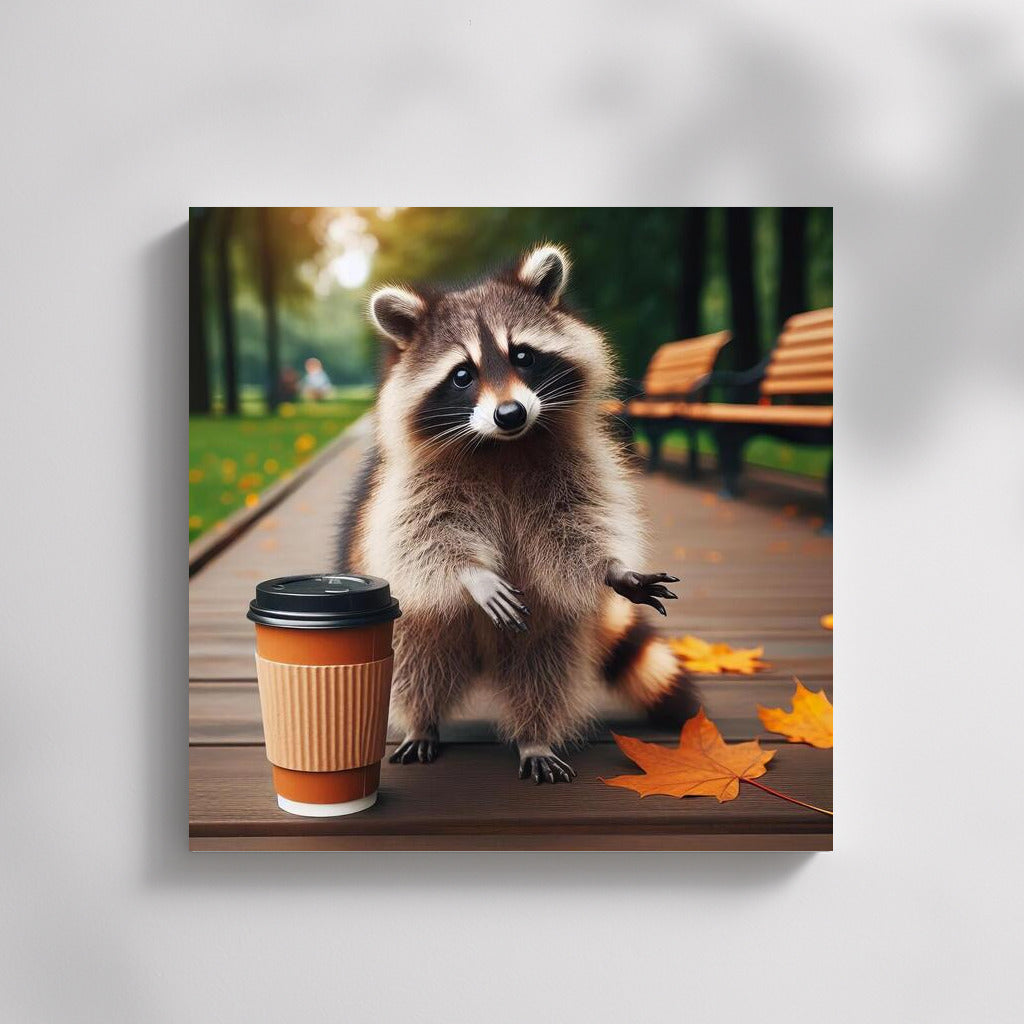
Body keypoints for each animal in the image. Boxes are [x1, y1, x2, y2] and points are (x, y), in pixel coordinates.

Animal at [336, 244, 699, 783]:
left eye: (523, 356)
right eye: (462, 375)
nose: (510, 414)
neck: (502, 446)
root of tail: (483, 661)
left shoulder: (572, 465)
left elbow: (576, 523)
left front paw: (612, 568)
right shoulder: (412, 485)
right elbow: (423, 535)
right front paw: (474, 575)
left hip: (550, 630)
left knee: (543, 674)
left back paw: (535, 735)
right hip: (419, 625)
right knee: (415, 669)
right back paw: (421, 720)